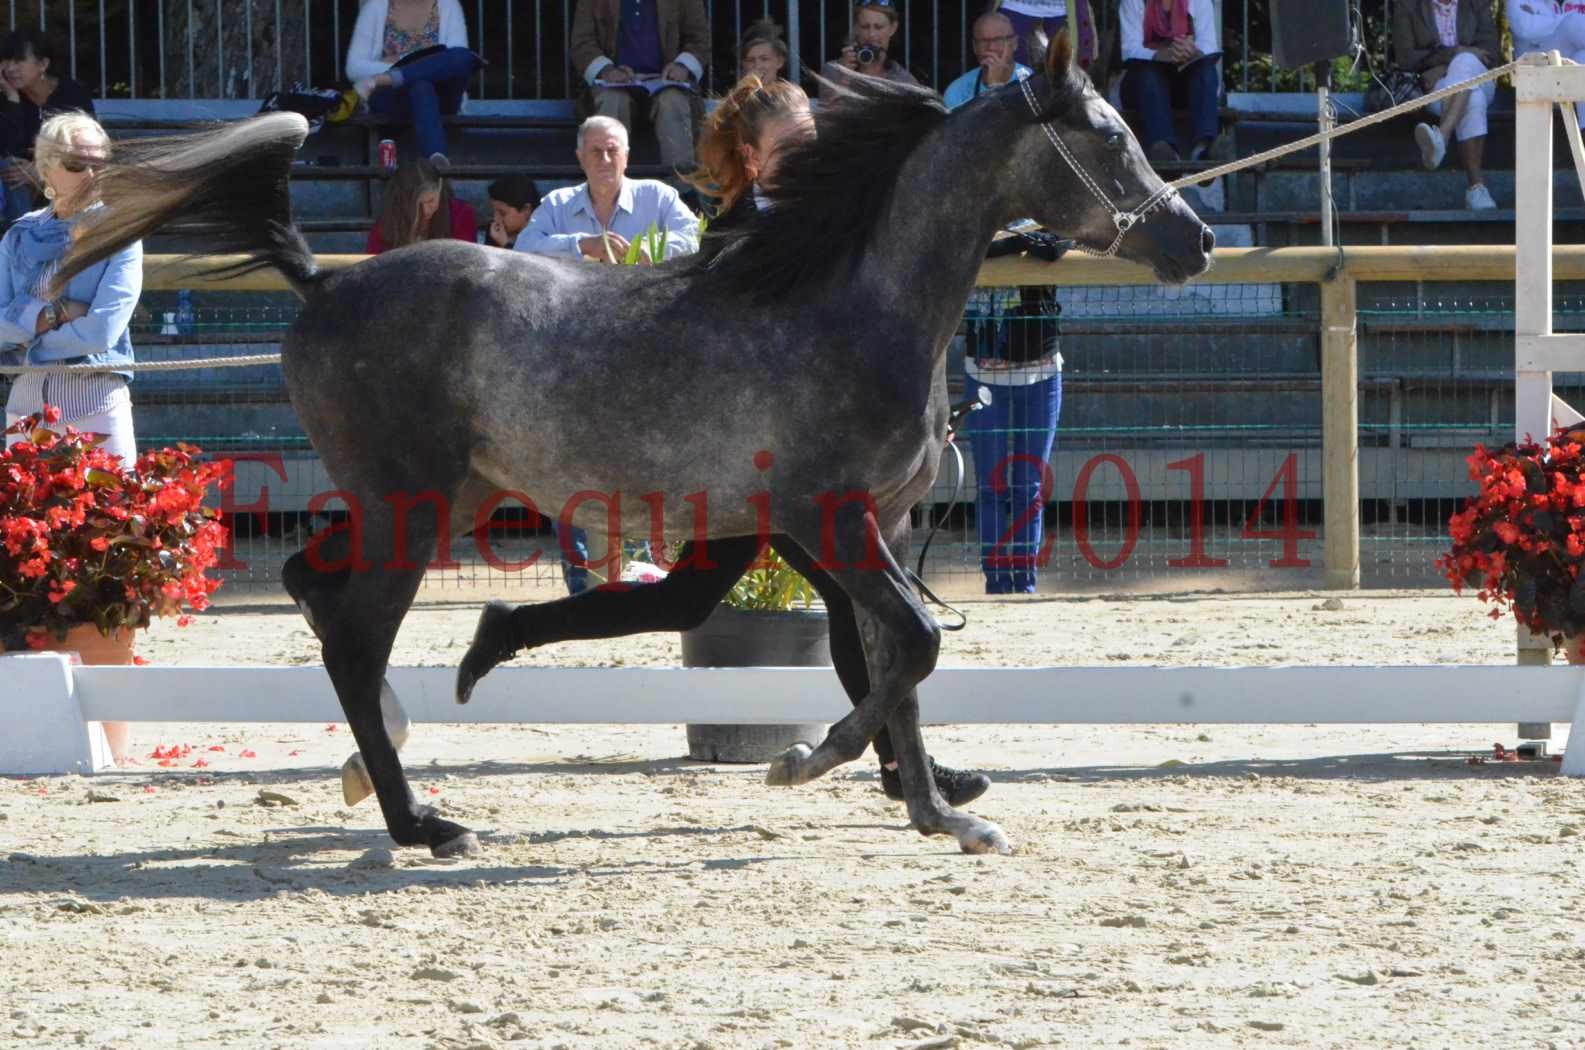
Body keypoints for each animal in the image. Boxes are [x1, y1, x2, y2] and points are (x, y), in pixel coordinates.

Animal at [52, 34, 1210, 862]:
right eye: (1105, 134)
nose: (1191, 240)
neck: (849, 305)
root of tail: (321, 282)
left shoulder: (865, 526)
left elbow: (892, 659)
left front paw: (940, 809)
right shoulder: (827, 519)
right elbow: (915, 644)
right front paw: (811, 763)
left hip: (440, 499)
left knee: (313, 583)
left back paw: (390, 766)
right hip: (412, 509)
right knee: (351, 633)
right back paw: (422, 821)